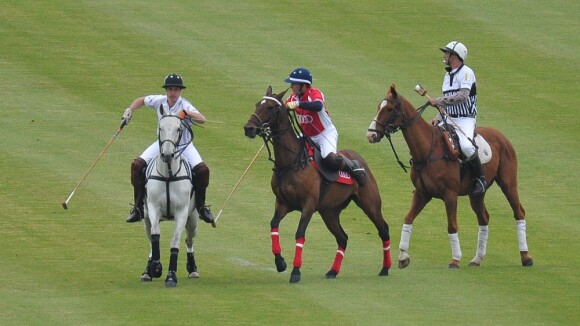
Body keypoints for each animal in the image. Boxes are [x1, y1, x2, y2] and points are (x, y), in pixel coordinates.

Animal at [140, 108, 199, 286]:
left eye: (179, 129)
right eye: (160, 127)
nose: (167, 155)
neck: (168, 174)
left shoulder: (181, 212)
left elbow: (175, 241)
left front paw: (171, 276)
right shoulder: (153, 208)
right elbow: (155, 235)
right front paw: (156, 267)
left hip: (193, 219)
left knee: (189, 240)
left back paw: (192, 269)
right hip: (145, 217)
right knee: (150, 239)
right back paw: (147, 271)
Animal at [242, 86, 392, 282]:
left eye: (270, 108)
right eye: (257, 104)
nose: (248, 128)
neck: (291, 162)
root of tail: (359, 158)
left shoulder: (308, 205)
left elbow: (300, 234)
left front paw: (296, 271)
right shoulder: (282, 203)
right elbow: (273, 225)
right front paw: (280, 262)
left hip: (370, 204)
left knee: (383, 229)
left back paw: (385, 268)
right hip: (329, 212)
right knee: (342, 238)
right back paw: (333, 271)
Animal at [364, 85, 532, 268]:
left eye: (389, 109)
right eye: (378, 107)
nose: (371, 135)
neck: (427, 151)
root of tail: (501, 135)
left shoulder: (450, 195)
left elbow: (452, 226)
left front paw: (455, 259)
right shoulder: (422, 193)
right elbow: (408, 218)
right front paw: (403, 256)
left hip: (508, 183)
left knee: (519, 212)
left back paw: (526, 257)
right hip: (476, 193)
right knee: (484, 218)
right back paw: (477, 258)